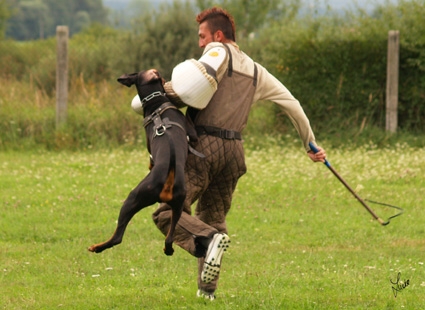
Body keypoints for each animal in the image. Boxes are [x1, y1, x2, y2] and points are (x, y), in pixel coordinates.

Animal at [89, 69, 195, 256]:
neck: (156, 103)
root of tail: (170, 170)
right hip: (178, 205)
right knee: (169, 238)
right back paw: (168, 249)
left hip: (132, 198)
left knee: (118, 236)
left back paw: (97, 247)